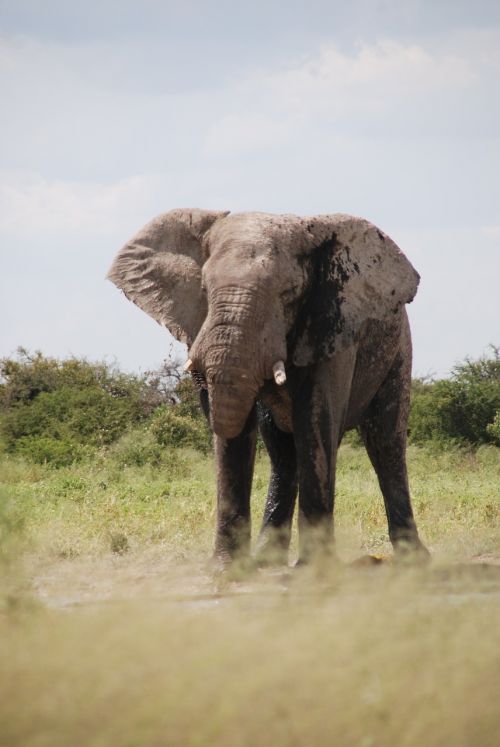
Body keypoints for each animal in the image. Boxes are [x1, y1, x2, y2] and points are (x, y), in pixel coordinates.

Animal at [109, 209, 430, 568]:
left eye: (289, 294)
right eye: (204, 288)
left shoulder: (332, 325)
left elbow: (315, 420)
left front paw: (314, 571)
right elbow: (240, 438)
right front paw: (226, 570)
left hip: (398, 346)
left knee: (384, 442)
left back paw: (414, 560)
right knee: (281, 451)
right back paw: (266, 560)